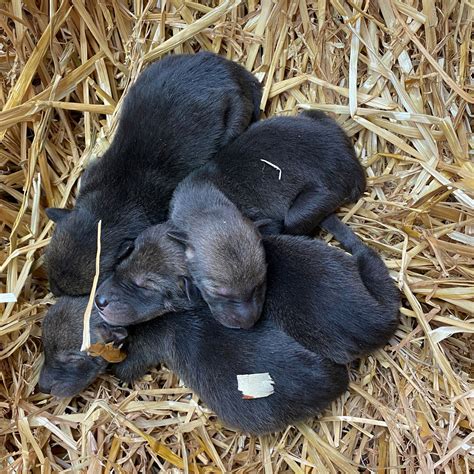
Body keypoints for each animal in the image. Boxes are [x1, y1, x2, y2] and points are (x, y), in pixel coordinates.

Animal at [165, 111, 368, 328]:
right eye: (219, 293)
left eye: (261, 282)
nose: (248, 323)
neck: (205, 203)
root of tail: (352, 163)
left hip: (315, 201)